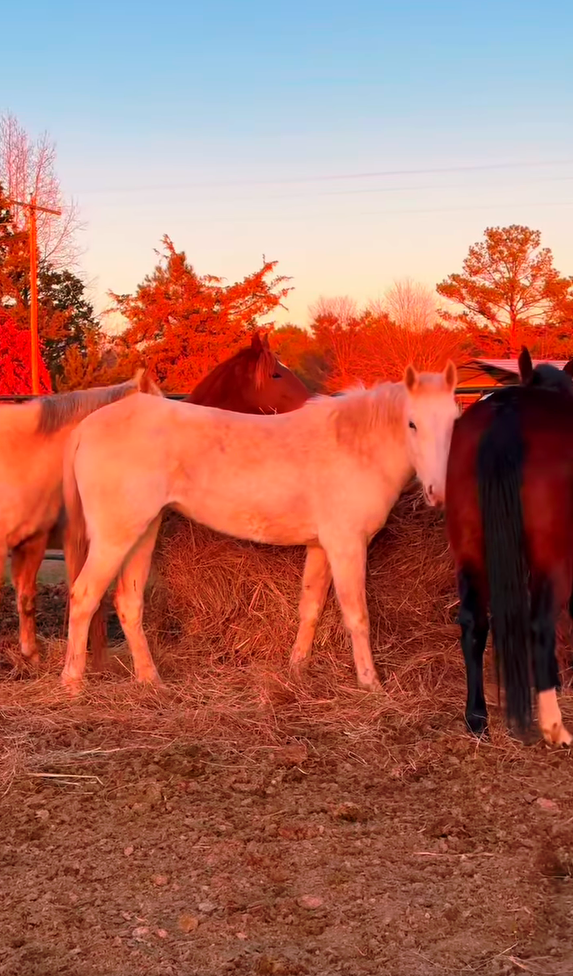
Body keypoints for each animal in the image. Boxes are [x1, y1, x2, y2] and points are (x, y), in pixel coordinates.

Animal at [60, 360, 458, 692]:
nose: (439, 492)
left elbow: (310, 607)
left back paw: (150, 680)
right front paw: (370, 682)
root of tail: (85, 428)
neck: (354, 445)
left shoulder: (320, 547)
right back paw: (73, 683)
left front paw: (297, 669)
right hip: (114, 538)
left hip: (143, 532)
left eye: (455, 421)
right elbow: (357, 614)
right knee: (84, 596)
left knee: (128, 601)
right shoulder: (347, 545)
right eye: (412, 423)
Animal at [444, 346, 572, 744]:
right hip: (554, 556)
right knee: (540, 623)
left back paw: (476, 718)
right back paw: (553, 726)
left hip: (470, 549)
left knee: (473, 623)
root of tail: (507, 412)